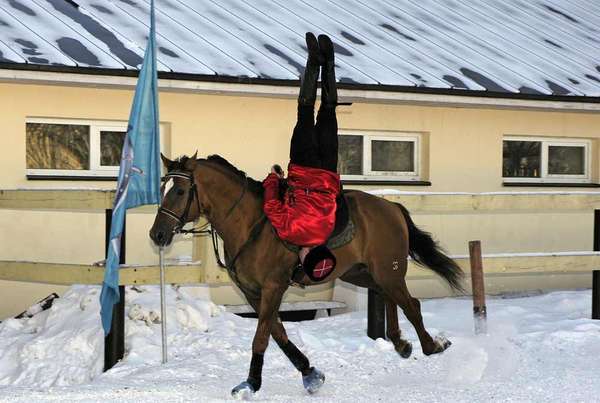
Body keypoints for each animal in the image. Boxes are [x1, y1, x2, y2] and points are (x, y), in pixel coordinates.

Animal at [150, 153, 464, 400]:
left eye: (179, 191)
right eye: (163, 187)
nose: (157, 235)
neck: (250, 222)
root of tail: (391, 207)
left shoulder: (272, 287)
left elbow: (261, 337)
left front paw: (251, 383)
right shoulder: (254, 292)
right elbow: (277, 333)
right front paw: (310, 373)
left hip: (388, 270)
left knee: (411, 304)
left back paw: (431, 345)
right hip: (362, 273)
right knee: (392, 298)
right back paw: (401, 342)